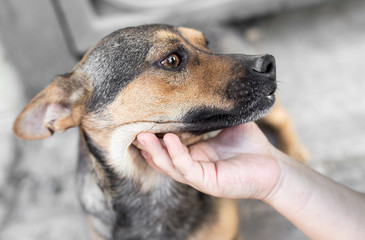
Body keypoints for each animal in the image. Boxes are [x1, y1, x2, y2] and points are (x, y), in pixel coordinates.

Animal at [12, 24, 306, 240]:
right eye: (172, 60)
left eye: (207, 44)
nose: (269, 63)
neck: (152, 182)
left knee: (283, 118)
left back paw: (297, 153)